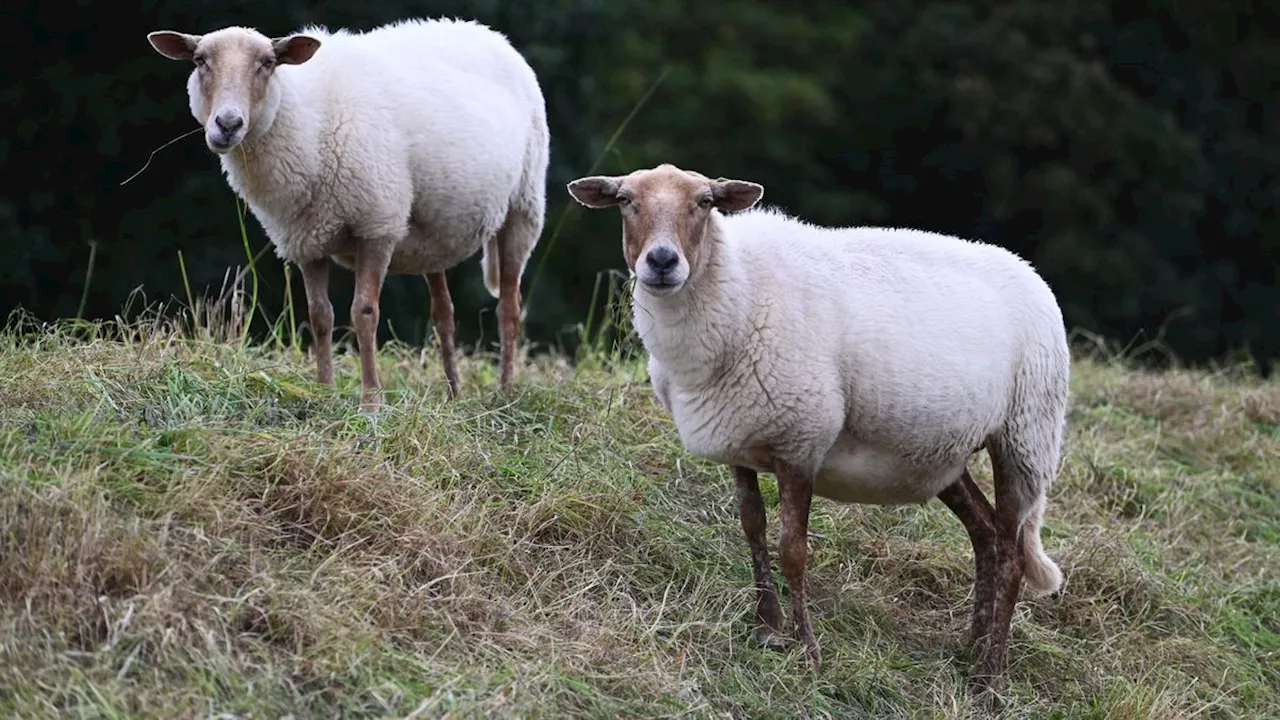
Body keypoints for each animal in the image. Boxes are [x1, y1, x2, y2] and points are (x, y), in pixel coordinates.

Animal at [147, 16, 547, 407]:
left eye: (268, 63)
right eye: (200, 61)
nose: (227, 124)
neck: (308, 124)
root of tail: (486, 32)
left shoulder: (377, 224)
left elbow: (364, 313)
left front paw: (371, 402)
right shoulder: (305, 239)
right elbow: (319, 316)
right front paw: (325, 392)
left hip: (523, 205)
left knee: (509, 306)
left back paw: (506, 392)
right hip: (433, 231)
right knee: (443, 311)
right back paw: (453, 393)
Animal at [568, 163, 1070, 691]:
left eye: (705, 202)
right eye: (626, 200)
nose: (662, 261)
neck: (739, 291)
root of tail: (1029, 271)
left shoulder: (801, 441)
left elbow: (793, 551)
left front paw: (807, 651)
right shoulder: (738, 438)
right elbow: (752, 527)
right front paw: (767, 628)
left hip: (1026, 436)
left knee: (1013, 557)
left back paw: (989, 677)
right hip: (945, 455)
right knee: (985, 534)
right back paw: (972, 646)